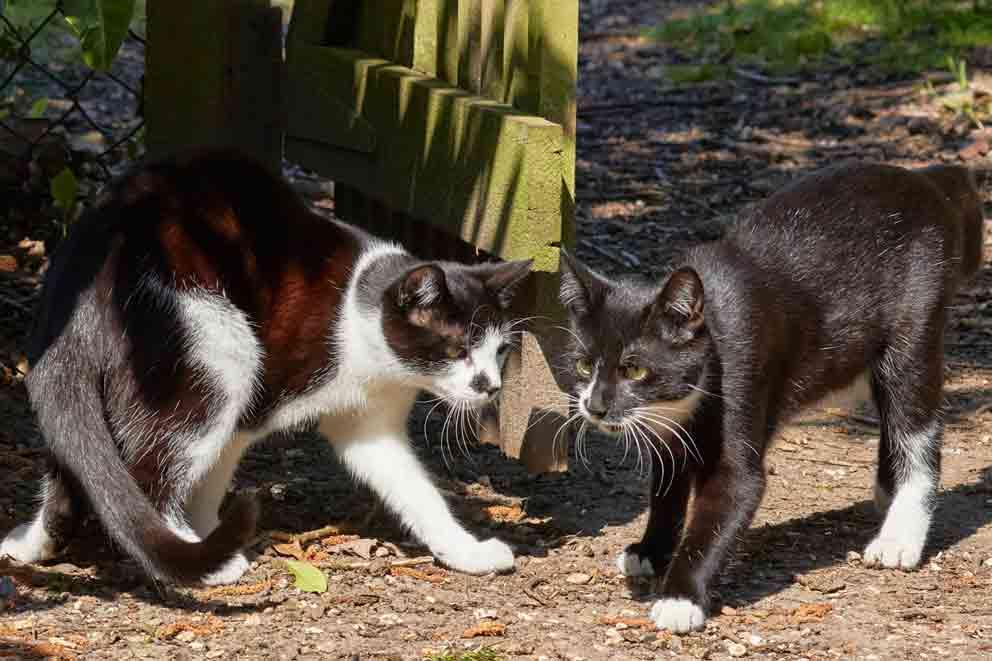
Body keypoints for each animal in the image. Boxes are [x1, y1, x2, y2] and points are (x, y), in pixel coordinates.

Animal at [0, 148, 536, 584]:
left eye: (499, 351)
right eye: (457, 350)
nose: (490, 386)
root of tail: (96, 241)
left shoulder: (369, 427)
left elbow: (418, 492)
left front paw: (466, 552)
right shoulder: (254, 409)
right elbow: (211, 480)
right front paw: (209, 538)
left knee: (72, 462)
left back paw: (32, 545)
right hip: (222, 350)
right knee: (150, 468)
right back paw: (202, 560)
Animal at [560, 162, 984, 632]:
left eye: (633, 369)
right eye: (584, 365)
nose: (595, 406)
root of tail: (925, 179)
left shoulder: (743, 385)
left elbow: (727, 502)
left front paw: (679, 598)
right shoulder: (668, 433)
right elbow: (666, 490)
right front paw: (651, 550)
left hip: (915, 327)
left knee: (916, 423)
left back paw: (900, 534)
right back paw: (887, 494)